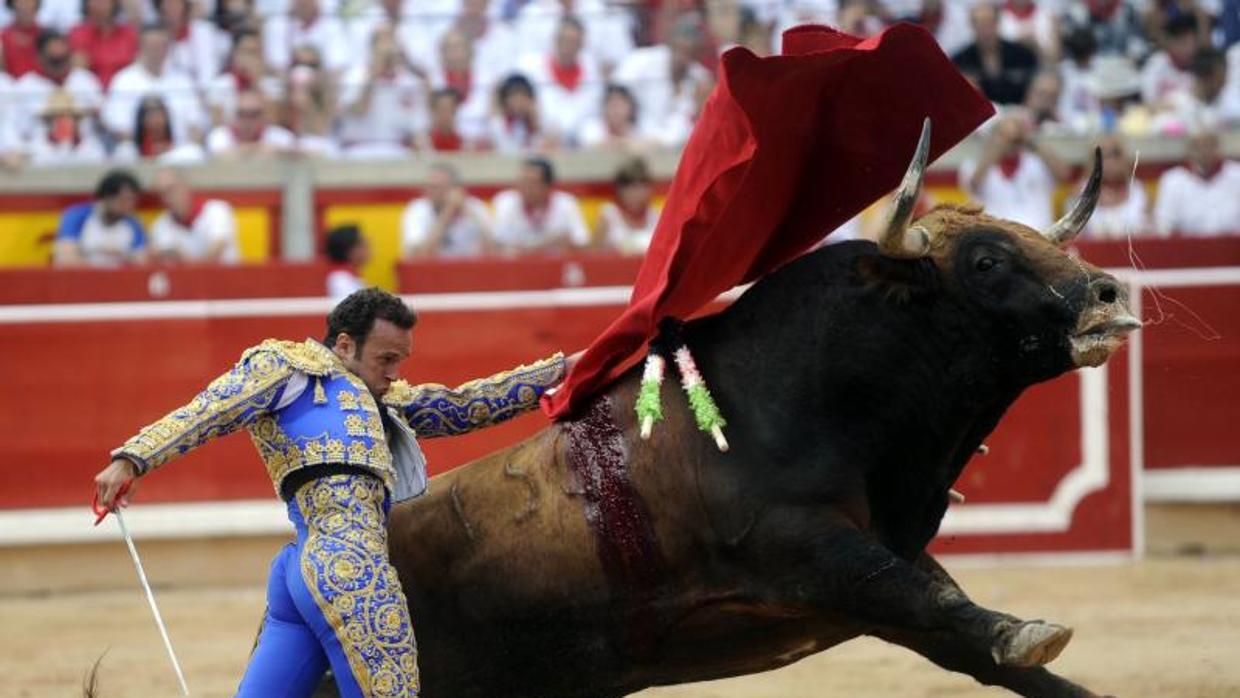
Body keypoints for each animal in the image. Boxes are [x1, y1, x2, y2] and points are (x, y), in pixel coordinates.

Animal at [381, 127, 1135, 698]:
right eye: (986, 261)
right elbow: (936, 604)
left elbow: (964, 638)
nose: (1108, 294)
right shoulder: (812, 551)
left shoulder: (873, 571)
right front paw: (1028, 633)